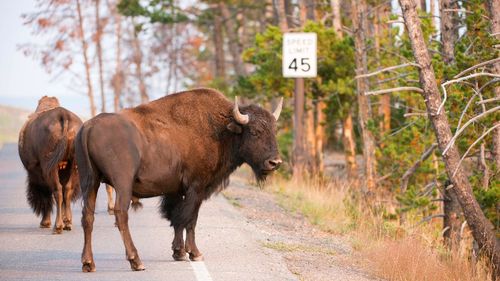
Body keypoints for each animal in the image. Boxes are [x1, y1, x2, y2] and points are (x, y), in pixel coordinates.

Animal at [18, 97, 83, 234]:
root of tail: (64, 115)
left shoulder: (38, 173)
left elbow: (46, 195)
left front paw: (45, 222)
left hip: (50, 168)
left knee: (57, 191)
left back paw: (57, 227)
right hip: (72, 165)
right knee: (66, 190)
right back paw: (67, 223)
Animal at [76, 88, 284, 272]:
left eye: (274, 131)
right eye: (255, 131)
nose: (275, 162)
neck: (222, 127)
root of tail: (89, 127)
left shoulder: (175, 190)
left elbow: (177, 218)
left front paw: (179, 252)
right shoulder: (197, 188)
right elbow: (189, 219)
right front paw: (194, 253)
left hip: (90, 182)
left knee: (88, 216)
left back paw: (88, 263)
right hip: (122, 184)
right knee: (121, 215)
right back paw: (136, 261)